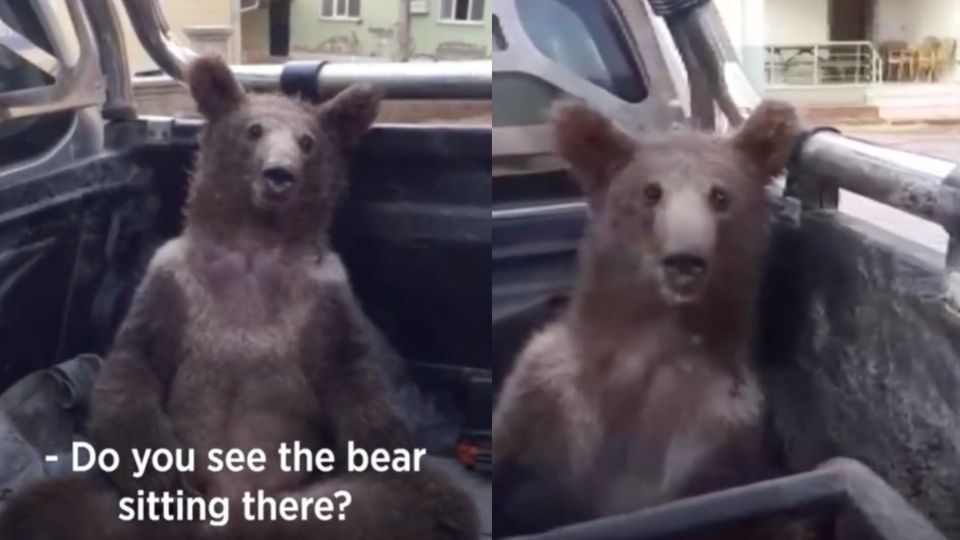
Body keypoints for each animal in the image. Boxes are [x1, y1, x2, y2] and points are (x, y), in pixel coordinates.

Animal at [0, 56, 478, 540]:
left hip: (320, 505)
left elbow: (353, 382)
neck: (253, 247)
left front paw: (383, 446)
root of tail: (231, 519)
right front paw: (163, 476)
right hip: (115, 510)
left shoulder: (323, 297)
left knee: (420, 500)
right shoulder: (173, 283)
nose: (279, 175)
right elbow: (134, 370)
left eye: (308, 141)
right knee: (44, 506)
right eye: (253, 129)